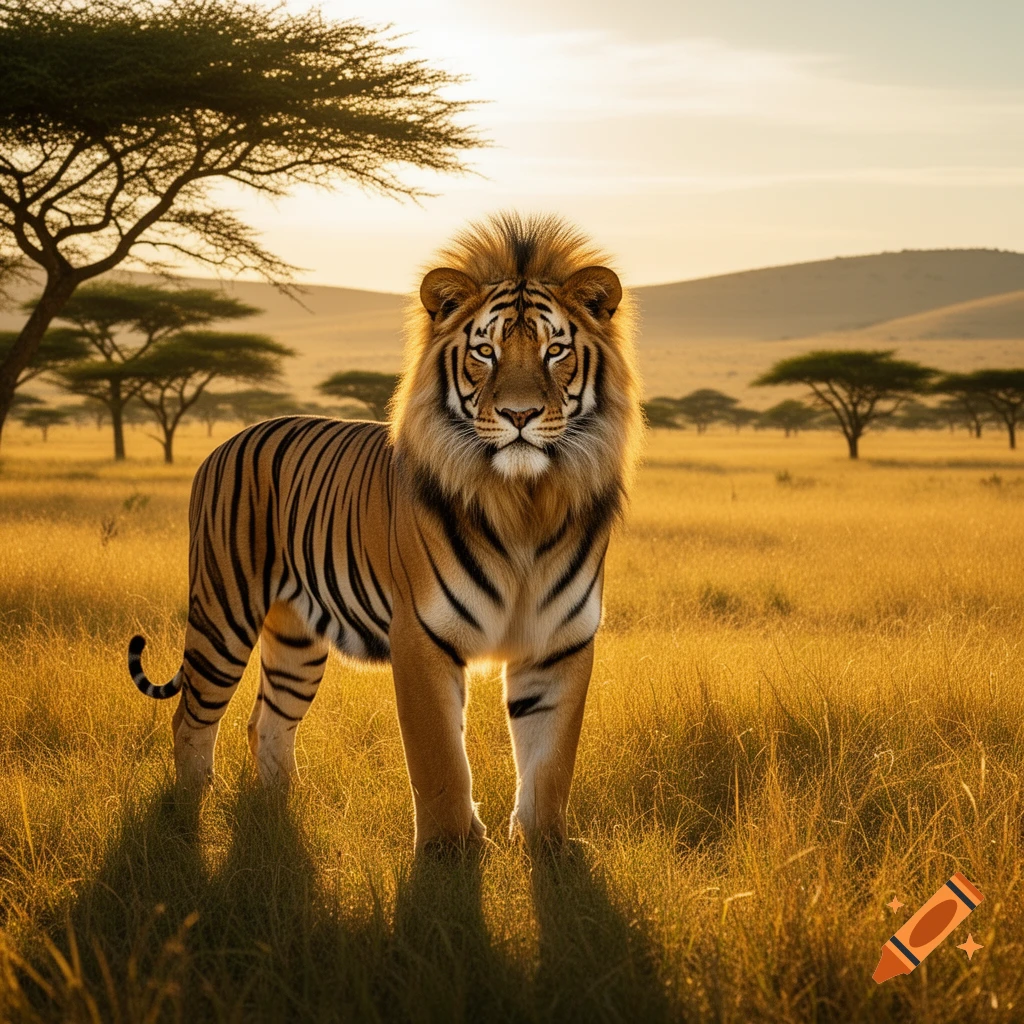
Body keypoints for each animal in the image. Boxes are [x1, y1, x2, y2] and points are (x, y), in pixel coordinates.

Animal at [128, 212, 643, 850]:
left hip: (296, 640)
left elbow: (550, 763)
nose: (519, 415)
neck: (523, 502)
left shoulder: (559, 642)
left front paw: (546, 849)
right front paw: (451, 853)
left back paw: (283, 812)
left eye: (555, 352)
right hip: (224, 613)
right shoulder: (421, 635)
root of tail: (229, 440)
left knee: (265, 721)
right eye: (485, 351)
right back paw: (193, 810)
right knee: (192, 716)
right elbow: (439, 759)